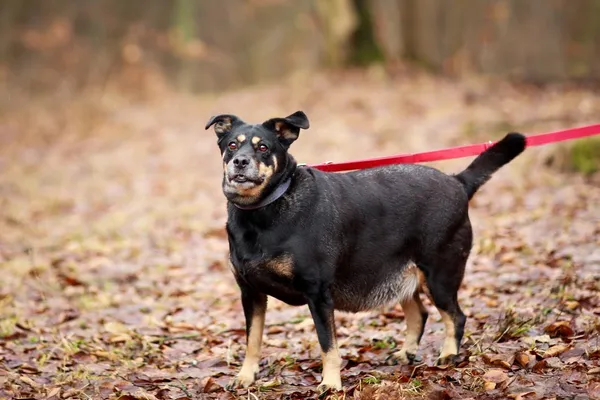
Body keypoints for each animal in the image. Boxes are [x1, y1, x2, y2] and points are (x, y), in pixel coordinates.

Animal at [205, 111, 524, 392]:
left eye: (263, 147)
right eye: (232, 144)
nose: (240, 161)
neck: (264, 209)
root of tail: (457, 182)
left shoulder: (318, 294)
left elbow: (328, 345)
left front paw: (331, 384)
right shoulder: (250, 292)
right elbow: (253, 341)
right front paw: (246, 377)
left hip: (440, 275)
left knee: (455, 317)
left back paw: (448, 355)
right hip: (401, 275)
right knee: (419, 314)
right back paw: (406, 353)